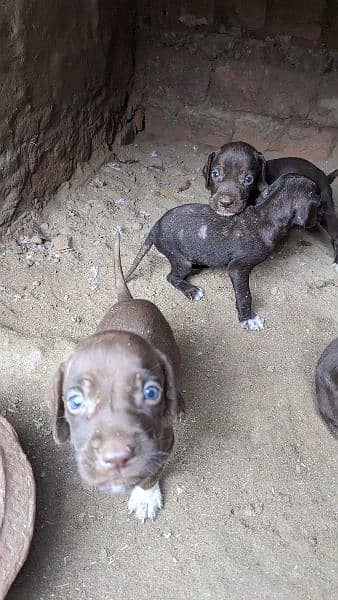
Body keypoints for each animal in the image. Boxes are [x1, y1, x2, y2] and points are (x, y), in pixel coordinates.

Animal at [48, 233, 182, 520]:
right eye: (75, 402)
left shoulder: (165, 443)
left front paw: (145, 497)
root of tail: (127, 299)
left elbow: (152, 474)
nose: (117, 456)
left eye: (150, 393)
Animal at [126, 173, 320, 332]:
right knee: (172, 276)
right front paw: (247, 319)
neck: (267, 214)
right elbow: (245, 295)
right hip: (180, 260)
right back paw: (191, 290)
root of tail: (155, 228)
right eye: (319, 203)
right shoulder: (238, 268)